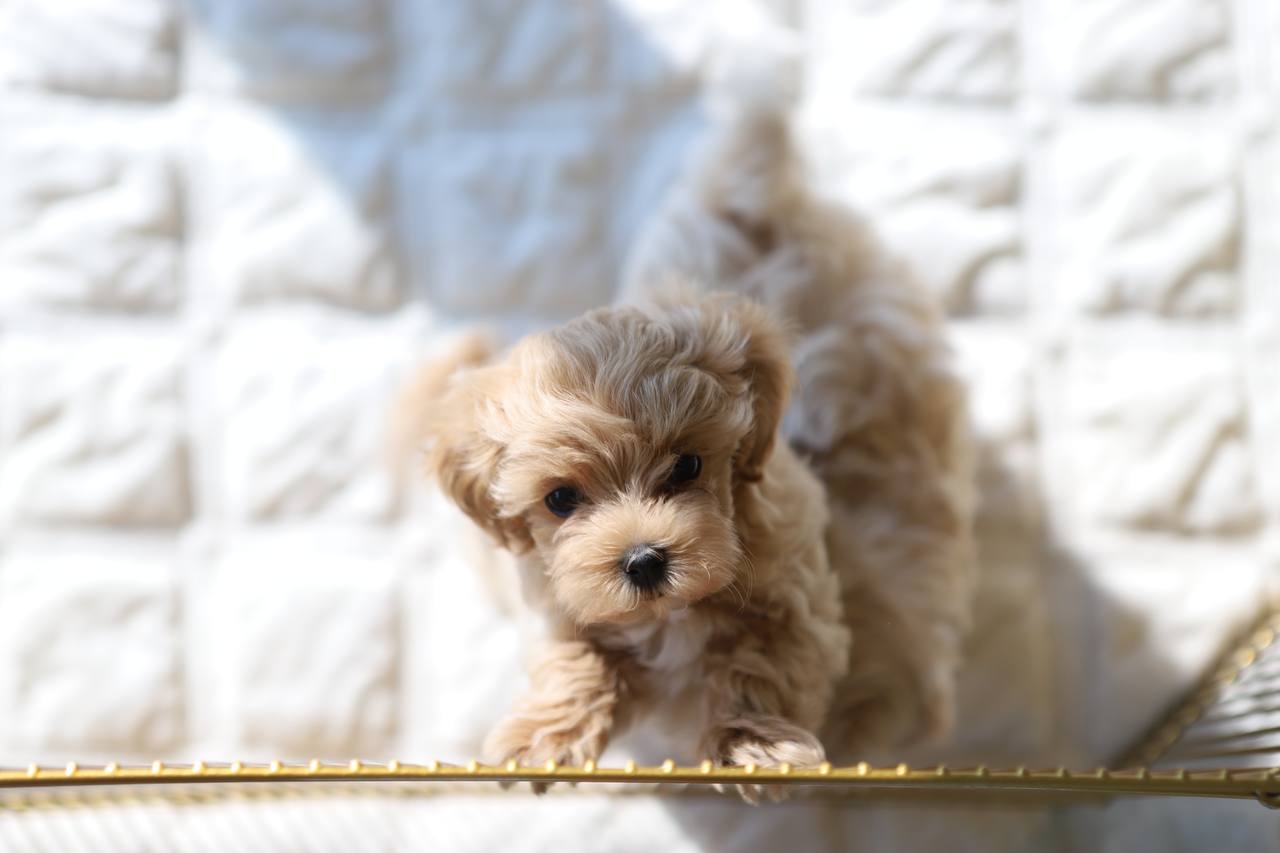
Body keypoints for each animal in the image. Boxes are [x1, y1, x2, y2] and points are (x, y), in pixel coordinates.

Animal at [401, 107, 975, 793]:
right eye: (560, 499)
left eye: (688, 466)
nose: (643, 560)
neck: (671, 615)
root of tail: (751, 198)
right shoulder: (554, 601)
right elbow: (575, 658)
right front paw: (542, 739)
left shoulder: (800, 596)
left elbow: (761, 665)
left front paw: (754, 746)